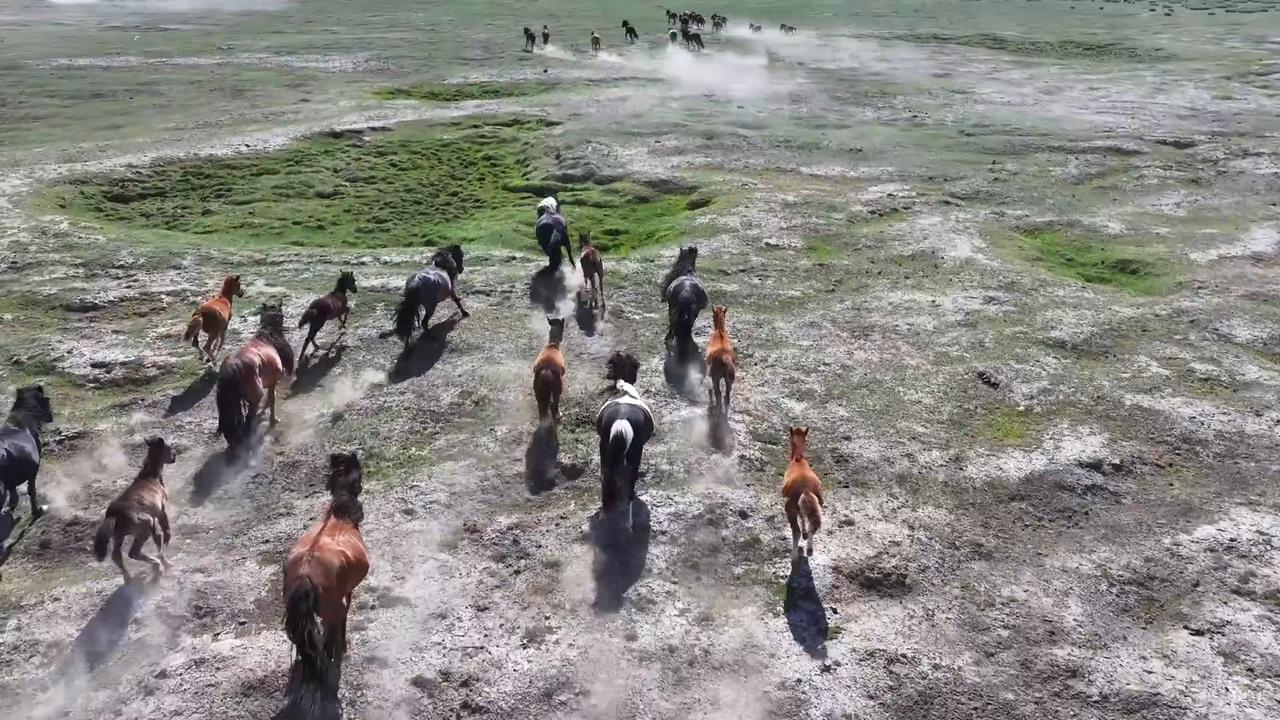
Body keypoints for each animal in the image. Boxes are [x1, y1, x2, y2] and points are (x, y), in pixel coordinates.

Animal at [0, 385, 53, 519]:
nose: (51, 416)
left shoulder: (11, 483)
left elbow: (14, 498)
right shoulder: (32, 474)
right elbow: (31, 493)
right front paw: (36, 512)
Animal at [92, 436, 175, 583]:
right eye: (168, 448)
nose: (174, 457)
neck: (150, 477)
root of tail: (113, 515)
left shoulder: (153, 519)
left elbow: (157, 538)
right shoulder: (160, 512)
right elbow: (166, 533)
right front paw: (166, 562)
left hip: (119, 536)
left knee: (116, 556)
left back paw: (128, 577)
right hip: (144, 525)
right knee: (133, 553)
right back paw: (157, 565)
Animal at [216, 302, 295, 450]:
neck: (268, 337)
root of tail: (232, 367)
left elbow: (269, 399)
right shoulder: (272, 382)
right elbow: (271, 399)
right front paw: (273, 419)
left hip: (232, 402)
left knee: (232, 423)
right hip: (254, 397)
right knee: (247, 420)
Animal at [597, 352, 653, 531]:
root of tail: (621, 420)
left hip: (604, 450)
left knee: (606, 478)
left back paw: (604, 515)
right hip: (635, 455)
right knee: (628, 486)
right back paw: (628, 524)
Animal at [782, 427, 824, 559]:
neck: (798, 460)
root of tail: (806, 489)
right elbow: (803, 516)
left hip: (790, 508)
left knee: (796, 531)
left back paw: (794, 555)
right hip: (817, 506)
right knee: (813, 527)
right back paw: (810, 549)